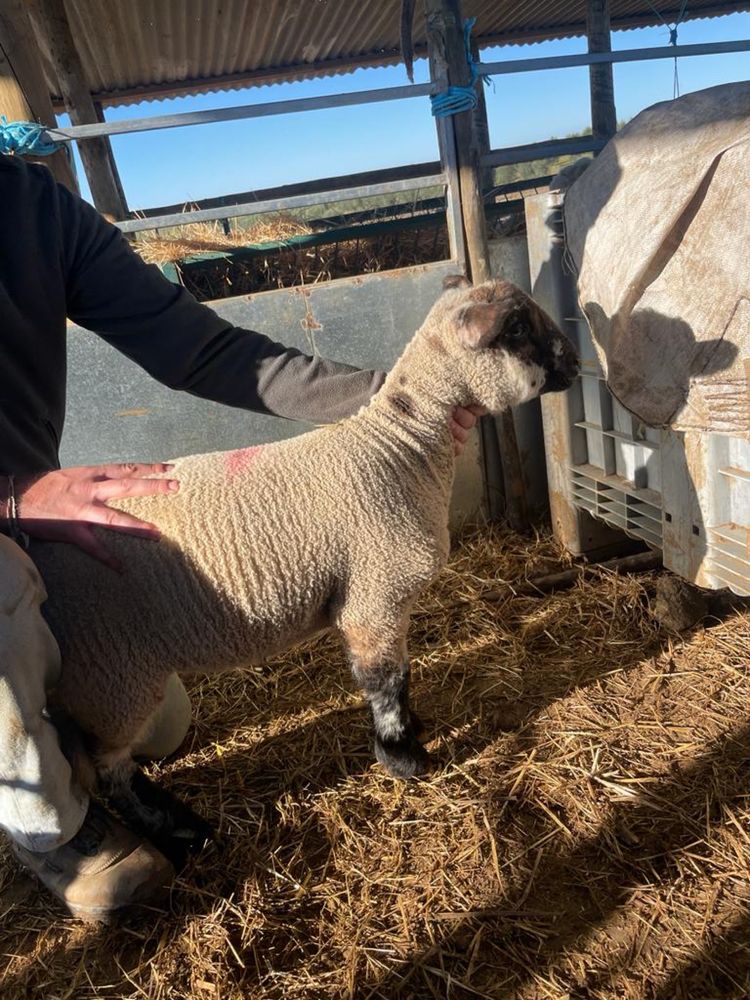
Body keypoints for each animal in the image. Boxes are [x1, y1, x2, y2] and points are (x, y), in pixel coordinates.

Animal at [30, 278, 580, 856]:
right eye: (518, 328)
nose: (577, 361)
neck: (402, 449)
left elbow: (399, 677)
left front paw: (414, 732)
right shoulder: (373, 597)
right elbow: (387, 682)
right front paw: (404, 759)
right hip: (110, 673)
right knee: (107, 769)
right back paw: (177, 830)